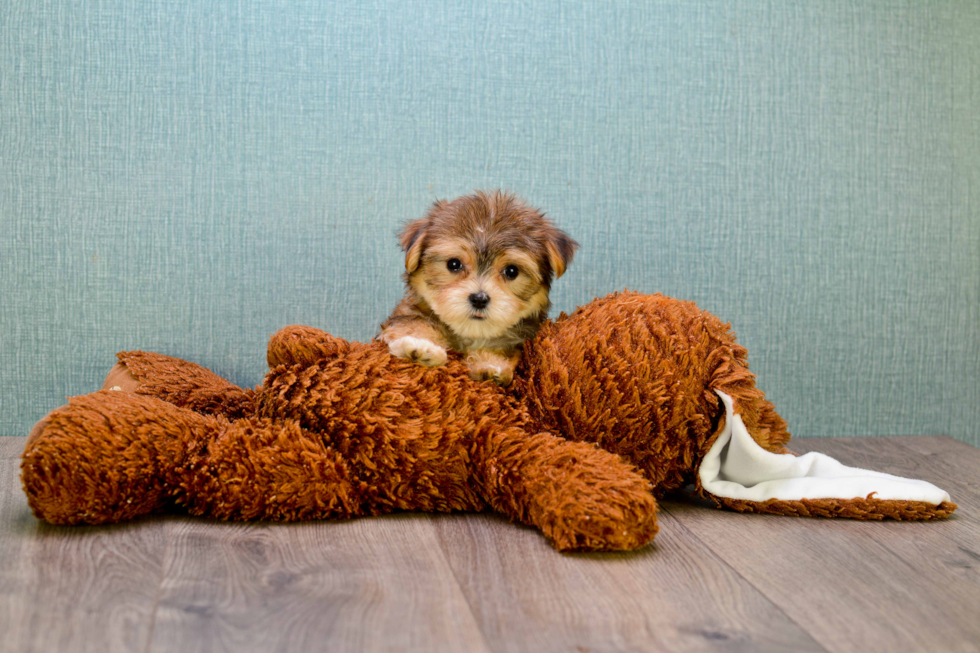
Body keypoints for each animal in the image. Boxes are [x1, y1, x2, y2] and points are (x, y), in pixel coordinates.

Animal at [380, 190, 580, 382]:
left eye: (512, 271)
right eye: (453, 264)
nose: (479, 299)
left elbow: (501, 349)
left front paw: (491, 364)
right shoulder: (411, 312)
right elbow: (414, 323)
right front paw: (420, 345)